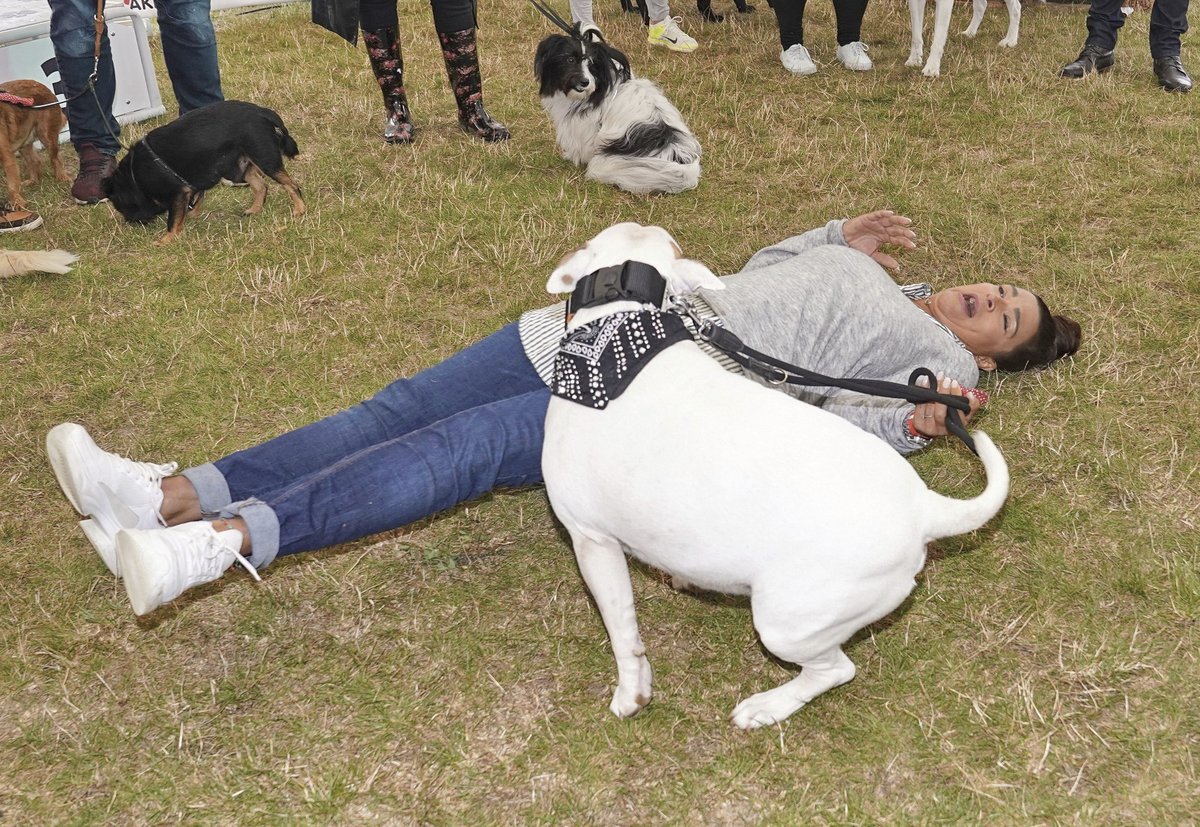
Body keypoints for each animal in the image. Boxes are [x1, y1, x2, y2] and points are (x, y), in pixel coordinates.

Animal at [0, 79, 70, 210]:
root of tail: (40, 85)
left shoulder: (7, 157)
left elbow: (12, 184)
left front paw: (17, 202)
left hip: (46, 135)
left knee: (55, 159)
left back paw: (62, 178)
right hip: (23, 140)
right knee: (34, 161)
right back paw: (33, 181)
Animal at [104, 99, 304, 243]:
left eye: (122, 208)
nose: (130, 222)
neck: (134, 177)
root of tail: (262, 112)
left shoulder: (177, 193)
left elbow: (173, 220)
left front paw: (167, 239)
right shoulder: (192, 183)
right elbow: (198, 196)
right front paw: (191, 216)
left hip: (265, 160)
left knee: (292, 185)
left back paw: (299, 209)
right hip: (240, 165)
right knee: (261, 186)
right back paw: (254, 209)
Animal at [540, 222, 1008, 724]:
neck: (619, 329)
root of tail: (925, 509)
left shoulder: (591, 540)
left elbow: (623, 632)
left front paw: (632, 693)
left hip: (789, 621)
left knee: (834, 670)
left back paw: (767, 707)